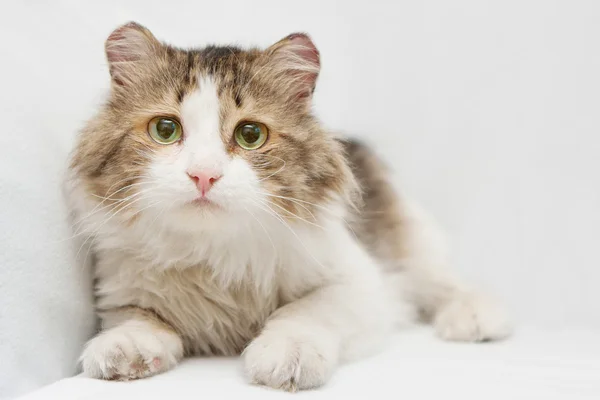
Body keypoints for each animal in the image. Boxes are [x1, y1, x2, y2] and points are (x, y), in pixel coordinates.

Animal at [69, 21, 510, 390]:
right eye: (165, 129)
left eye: (250, 135)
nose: (204, 176)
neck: (215, 257)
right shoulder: (121, 293)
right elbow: (138, 320)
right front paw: (123, 349)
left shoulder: (357, 284)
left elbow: (302, 313)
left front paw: (286, 356)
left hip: (413, 244)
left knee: (444, 283)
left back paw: (476, 317)